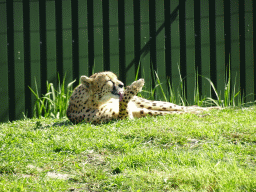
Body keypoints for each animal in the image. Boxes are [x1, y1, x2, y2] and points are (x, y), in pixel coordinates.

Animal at [66, 71, 218, 124]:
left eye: (116, 78)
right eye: (109, 80)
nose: (121, 84)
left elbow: (123, 100)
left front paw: (134, 86)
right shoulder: (123, 117)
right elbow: (123, 103)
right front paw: (135, 86)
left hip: (153, 104)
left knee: (183, 108)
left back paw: (213, 108)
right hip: (148, 109)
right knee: (179, 111)